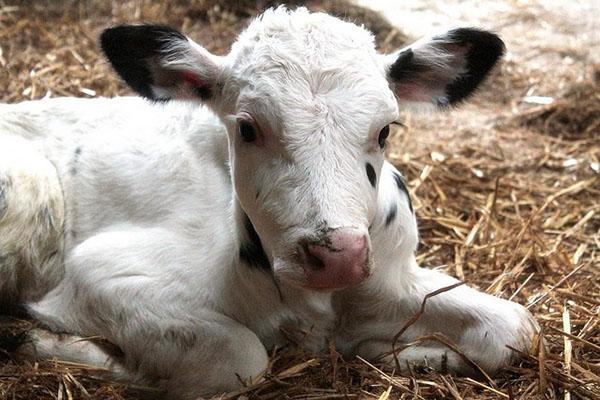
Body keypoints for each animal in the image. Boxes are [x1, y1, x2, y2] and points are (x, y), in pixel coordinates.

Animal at [0, 7, 536, 400]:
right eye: (247, 127)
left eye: (385, 129)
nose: (337, 256)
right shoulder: (99, 273)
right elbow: (240, 357)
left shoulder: (389, 277)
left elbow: (514, 328)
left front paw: (388, 351)